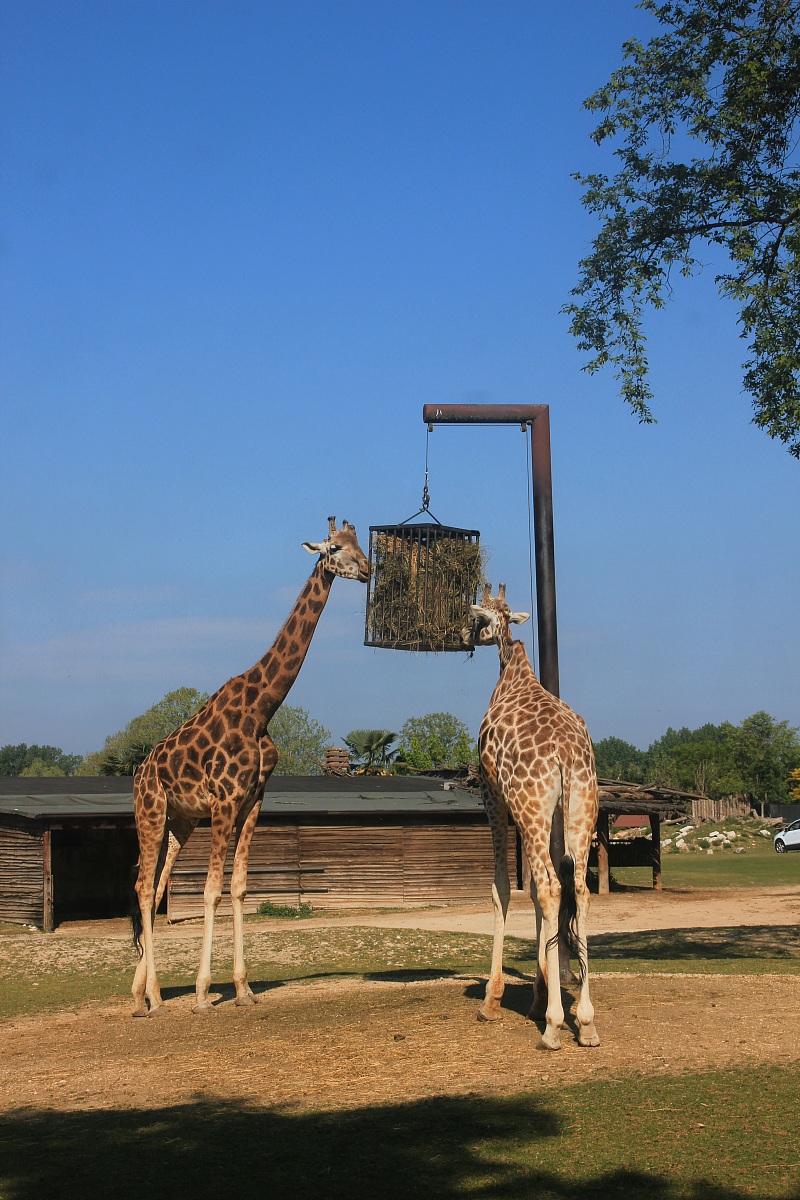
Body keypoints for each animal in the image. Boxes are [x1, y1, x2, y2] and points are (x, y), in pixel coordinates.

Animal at [131, 517, 369, 1017]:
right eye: (335, 548)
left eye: (361, 545)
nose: (367, 570)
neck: (262, 708)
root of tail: (139, 774)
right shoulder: (224, 800)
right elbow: (211, 889)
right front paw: (204, 993)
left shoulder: (253, 799)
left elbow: (239, 886)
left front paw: (242, 988)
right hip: (151, 813)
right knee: (143, 887)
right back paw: (154, 999)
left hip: (179, 823)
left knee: (156, 887)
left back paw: (144, 995)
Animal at [466, 583, 600, 1051]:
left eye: (476, 617)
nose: (468, 637)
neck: (513, 672)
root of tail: (564, 753)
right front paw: (540, 994)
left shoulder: (492, 793)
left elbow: (503, 887)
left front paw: (492, 1000)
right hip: (580, 807)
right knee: (577, 888)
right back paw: (586, 1021)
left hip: (529, 804)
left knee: (548, 886)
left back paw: (555, 1027)